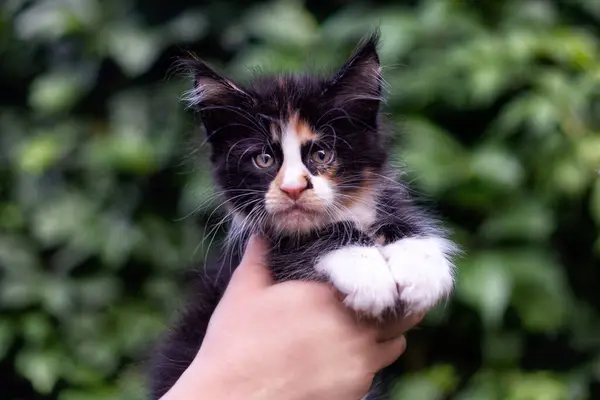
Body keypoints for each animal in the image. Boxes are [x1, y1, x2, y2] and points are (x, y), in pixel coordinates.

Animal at [150, 32, 460, 398]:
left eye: (322, 154)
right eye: (264, 160)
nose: (294, 188)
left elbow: (401, 216)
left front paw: (422, 267)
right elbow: (305, 242)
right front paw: (367, 272)